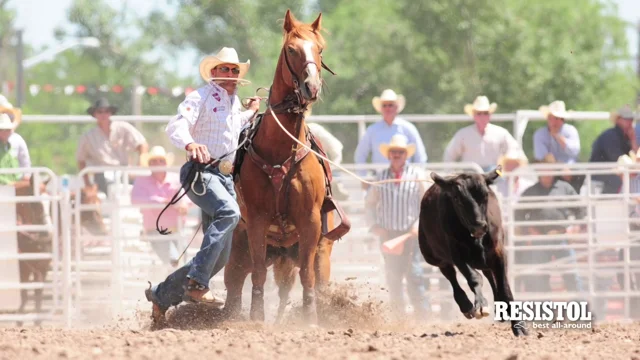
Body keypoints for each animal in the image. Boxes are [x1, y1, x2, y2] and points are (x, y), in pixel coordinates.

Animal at [222, 9, 348, 324]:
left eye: (320, 48)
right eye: (291, 49)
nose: (311, 87)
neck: (280, 150)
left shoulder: (310, 222)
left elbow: (306, 277)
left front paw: (310, 317)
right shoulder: (256, 220)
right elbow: (256, 274)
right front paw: (257, 316)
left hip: (315, 251)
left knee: (302, 281)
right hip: (239, 247)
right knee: (235, 282)